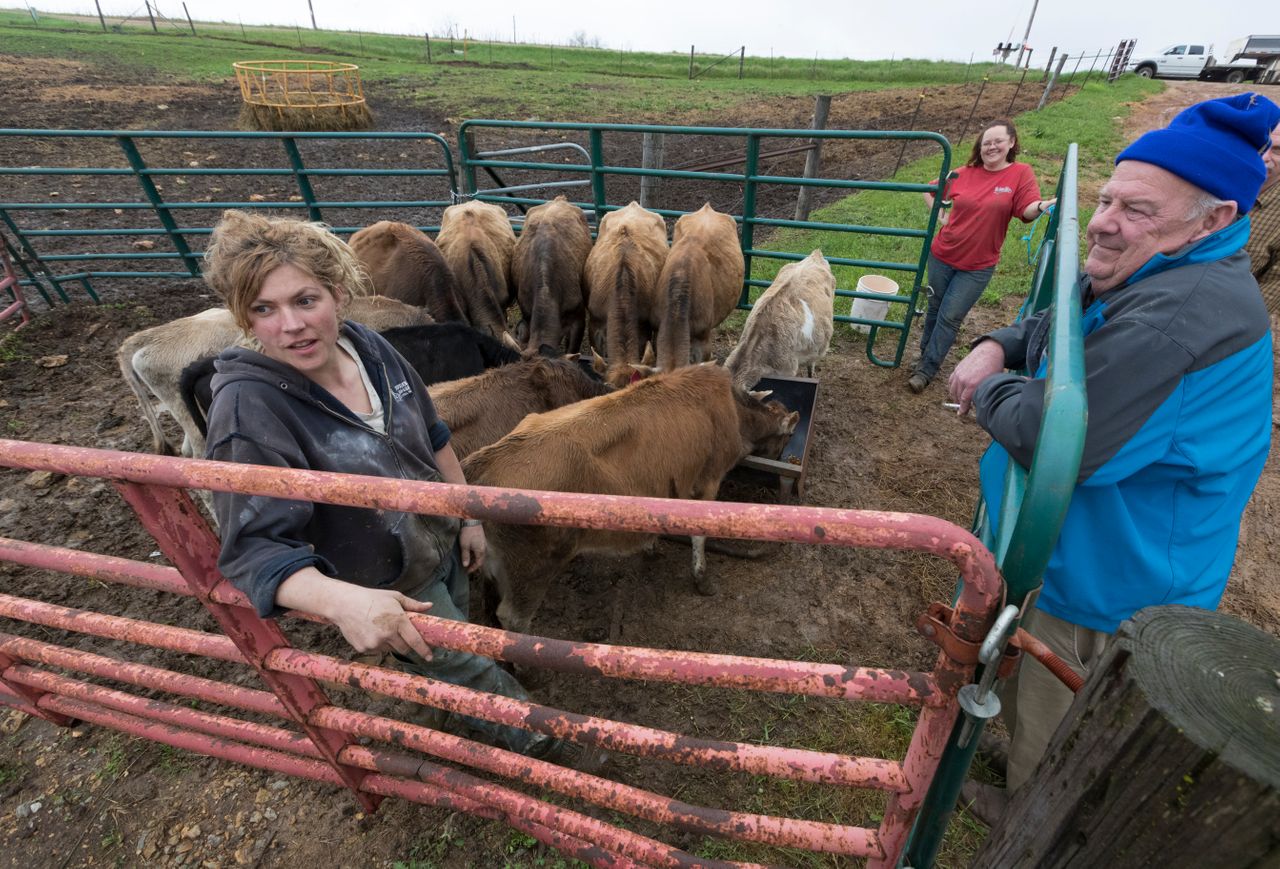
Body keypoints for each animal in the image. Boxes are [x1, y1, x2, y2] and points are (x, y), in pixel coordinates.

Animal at [460, 363, 798, 634]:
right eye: (786, 437)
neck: (733, 410)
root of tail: (483, 463)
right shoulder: (708, 480)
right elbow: (699, 536)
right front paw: (702, 579)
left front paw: (651, 546)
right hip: (530, 571)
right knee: (513, 619)